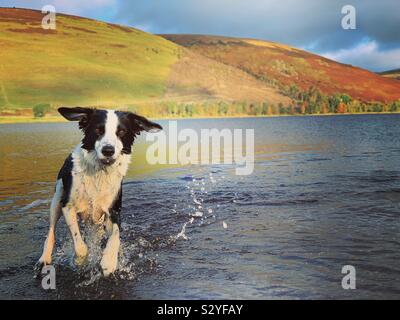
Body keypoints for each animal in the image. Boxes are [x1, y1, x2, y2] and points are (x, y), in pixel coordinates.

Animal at [34, 106, 162, 276]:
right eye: (98, 130)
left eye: (121, 131)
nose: (108, 150)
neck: (99, 173)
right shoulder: (68, 206)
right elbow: (80, 244)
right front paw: (80, 260)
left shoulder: (113, 210)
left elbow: (115, 236)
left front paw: (109, 261)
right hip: (56, 200)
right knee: (51, 231)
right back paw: (44, 258)